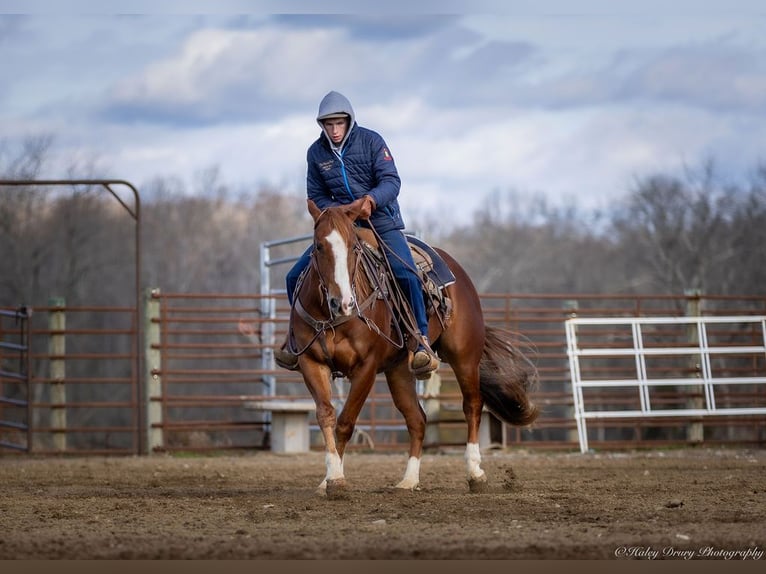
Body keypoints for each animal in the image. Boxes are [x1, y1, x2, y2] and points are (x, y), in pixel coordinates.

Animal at [284, 200, 540, 498]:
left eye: (352, 247)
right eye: (318, 246)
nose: (343, 302)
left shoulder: (366, 367)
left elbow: (346, 422)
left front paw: (335, 480)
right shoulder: (312, 363)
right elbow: (326, 415)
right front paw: (330, 478)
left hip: (465, 356)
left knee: (472, 405)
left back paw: (475, 473)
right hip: (399, 370)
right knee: (417, 418)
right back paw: (408, 480)